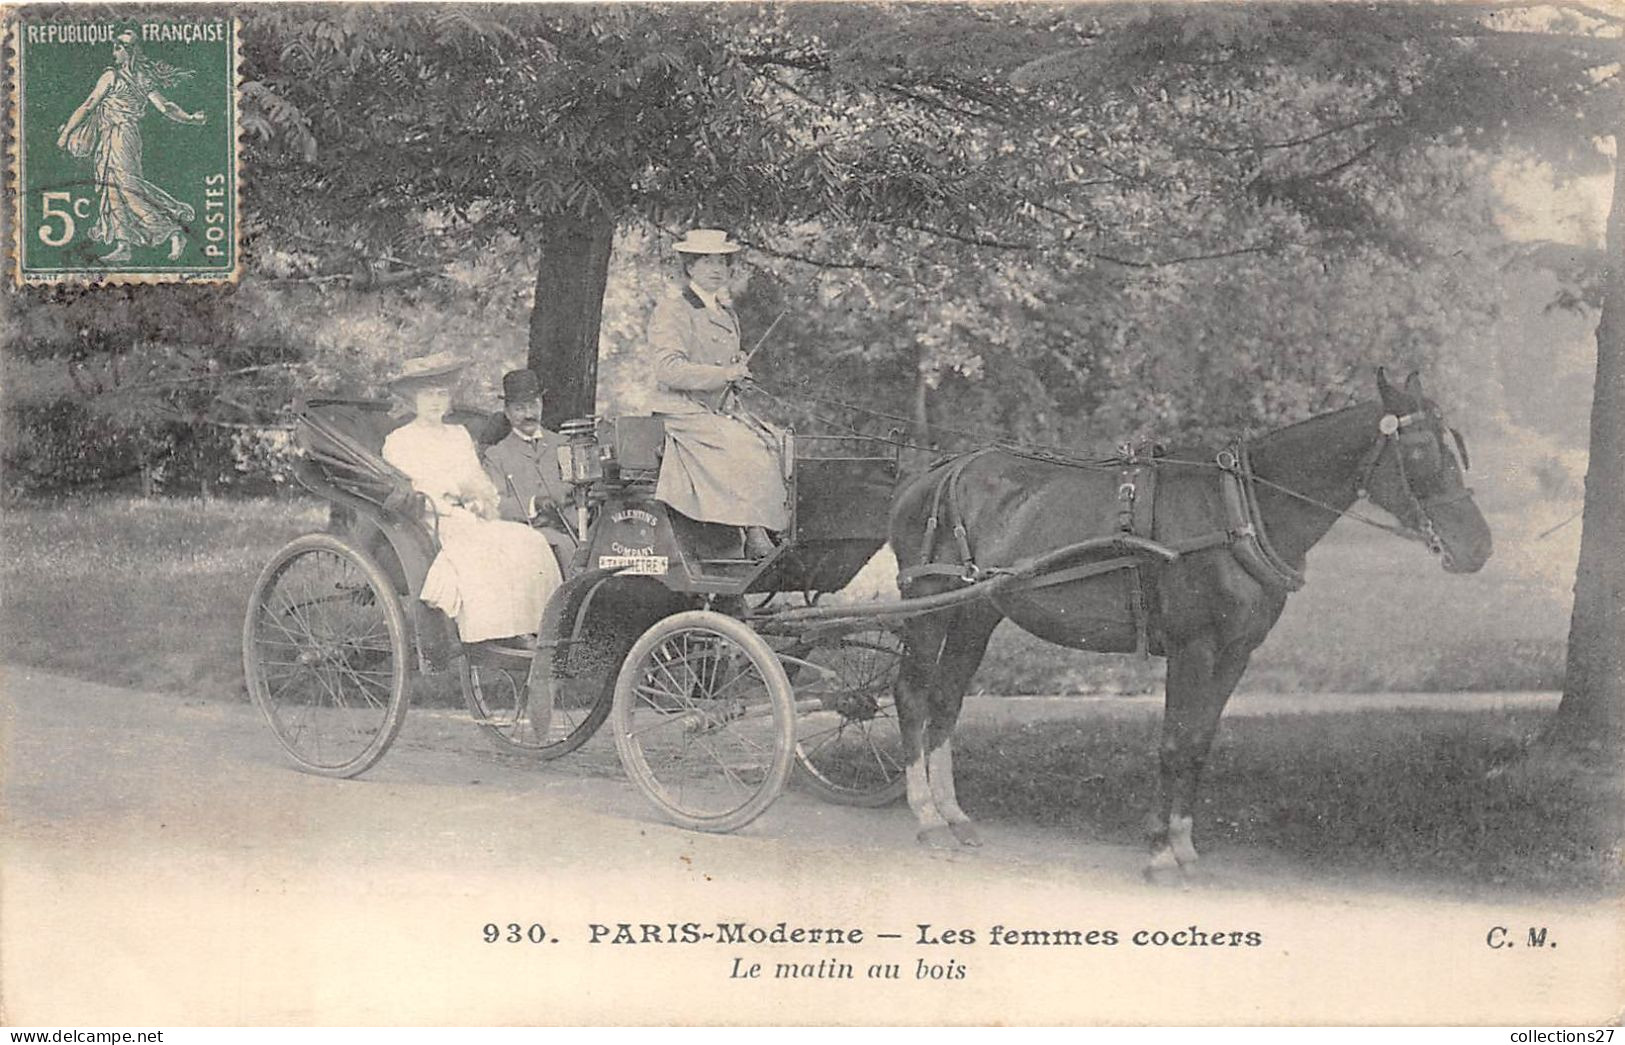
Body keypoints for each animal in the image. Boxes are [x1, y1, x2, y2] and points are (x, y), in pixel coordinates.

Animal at [890, 370, 1495, 884]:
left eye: (1456, 447)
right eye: (1420, 451)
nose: (1479, 548)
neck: (1240, 513)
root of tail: (938, 471)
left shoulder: (1235, 653)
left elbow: (1200, 744)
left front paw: (1183, 845)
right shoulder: (1193, 648)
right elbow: (1174, 743)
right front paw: (1161, 854)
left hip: (977, 611)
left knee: (946, 699)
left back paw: (954, 814)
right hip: (927, 604)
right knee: (913, 695)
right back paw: (927, 817)